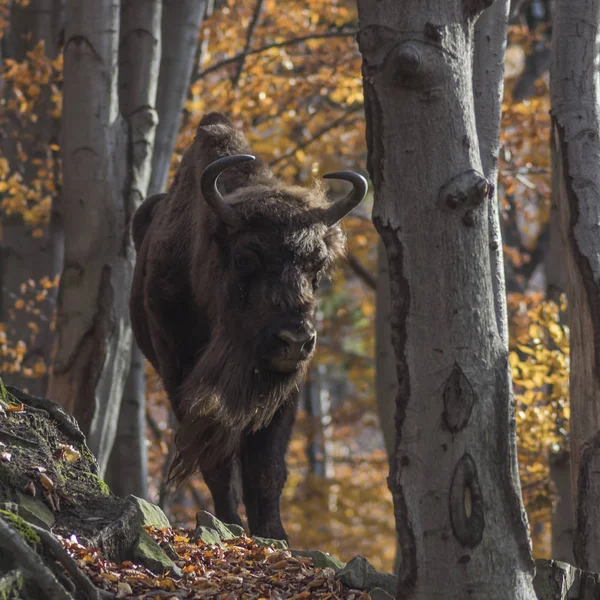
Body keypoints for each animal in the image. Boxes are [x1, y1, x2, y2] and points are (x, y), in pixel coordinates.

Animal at [131, 111, 366, 540]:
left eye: (317, 267)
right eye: (244, 259)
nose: (293, 340)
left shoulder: (286, 387)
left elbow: (267, 465)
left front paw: (274, 533)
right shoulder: (181, 377)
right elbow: (217, 461)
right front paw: (229, 524)